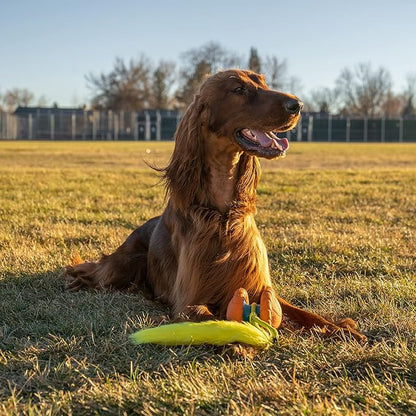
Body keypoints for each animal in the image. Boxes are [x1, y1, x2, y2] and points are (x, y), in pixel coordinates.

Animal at [63, 69, 366, 342]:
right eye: (239, 89)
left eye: (263, 82)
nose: (298, 105)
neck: (222, 215)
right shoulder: (188, 302)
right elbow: (217, 320)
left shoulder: (259, 287)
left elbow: (305, 314)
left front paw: (341, 328)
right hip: (122, 264)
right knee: (97, 271)